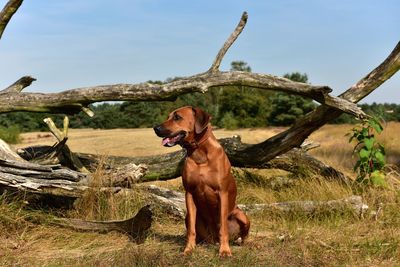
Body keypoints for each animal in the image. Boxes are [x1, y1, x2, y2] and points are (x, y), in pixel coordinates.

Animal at [154, 106, 250, 258]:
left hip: (242, 215)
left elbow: (223, 228)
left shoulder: (222, 193)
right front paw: (188, 249)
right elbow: (191, 230)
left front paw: (224, 250)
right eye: (168, 116)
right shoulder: (189, 193)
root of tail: (213, 239)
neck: (200, 152)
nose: (156, 128)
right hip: (189, 218)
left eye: (177, 117)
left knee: (242, 236)